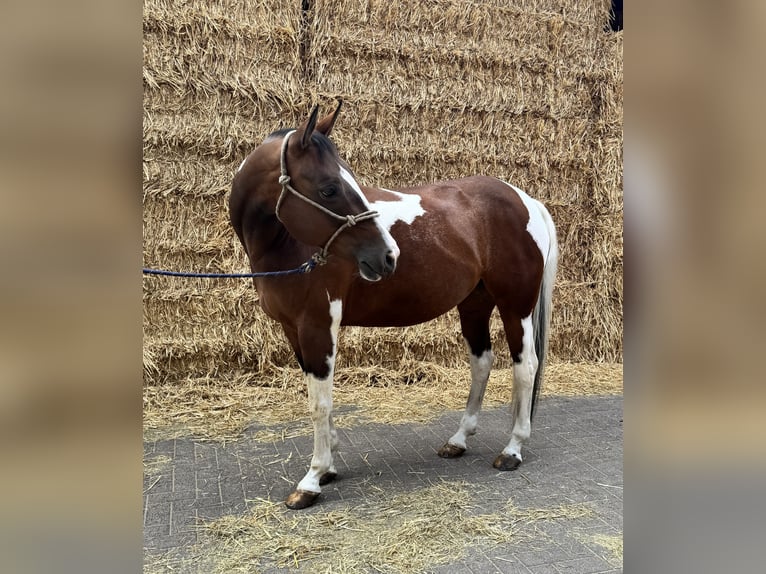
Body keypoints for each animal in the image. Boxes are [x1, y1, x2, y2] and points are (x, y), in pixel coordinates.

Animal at [229, 101, 558, 509]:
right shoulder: (294, 330)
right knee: (482, 363)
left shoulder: (317, 326)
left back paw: (513, 449)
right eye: (329, 188)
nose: (388, 256)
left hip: (516, 305)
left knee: (525, 366)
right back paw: (458, 440)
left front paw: (312, 479)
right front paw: (329, 466)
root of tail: (526, 200)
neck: (285, 243)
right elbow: (318, 395)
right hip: (474, 305)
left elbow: (320, 403)